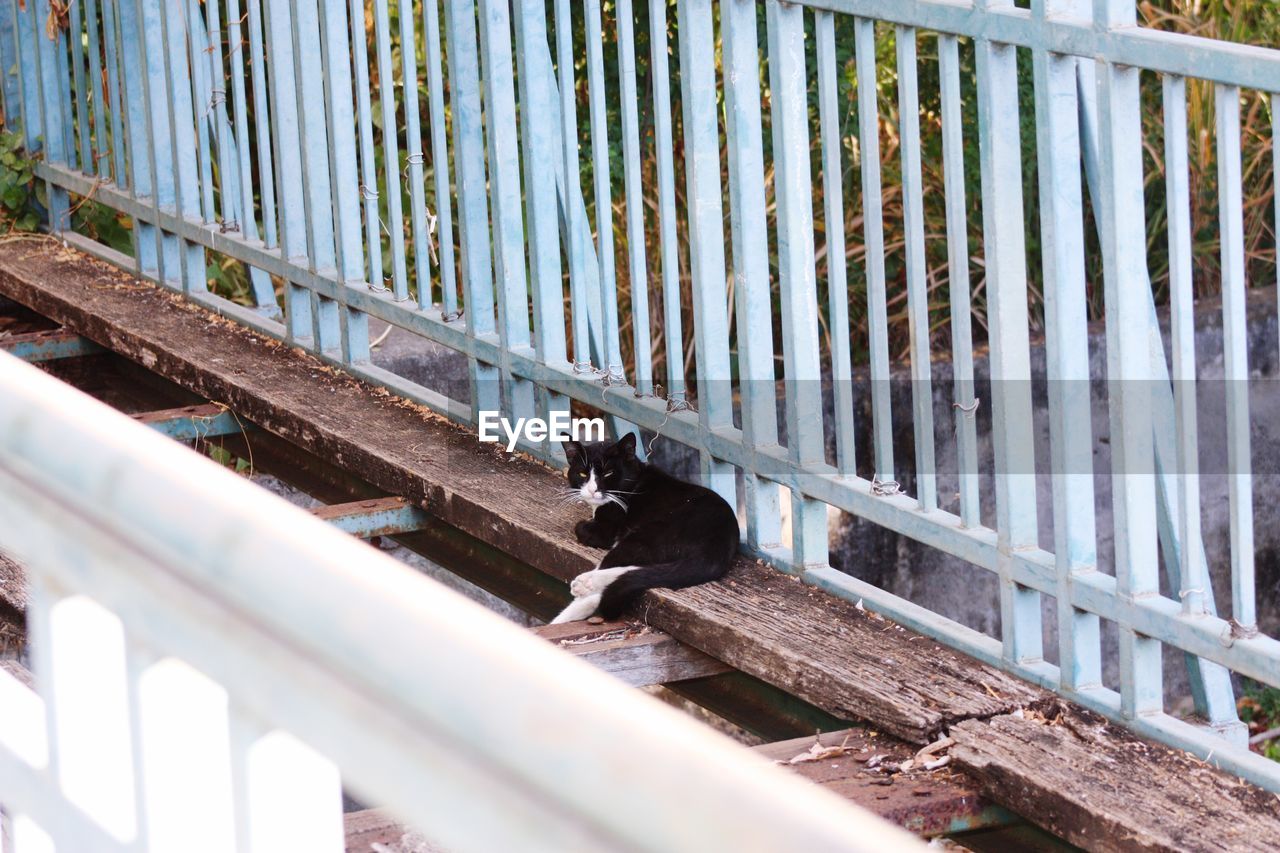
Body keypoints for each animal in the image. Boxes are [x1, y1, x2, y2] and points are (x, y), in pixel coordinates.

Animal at [550, 435, 742, 622]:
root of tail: (719, 545)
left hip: (651, 533)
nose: (592, 490)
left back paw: (583, 587)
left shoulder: (605, 529)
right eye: (582, 473)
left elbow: (581, 528)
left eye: (608, 473)